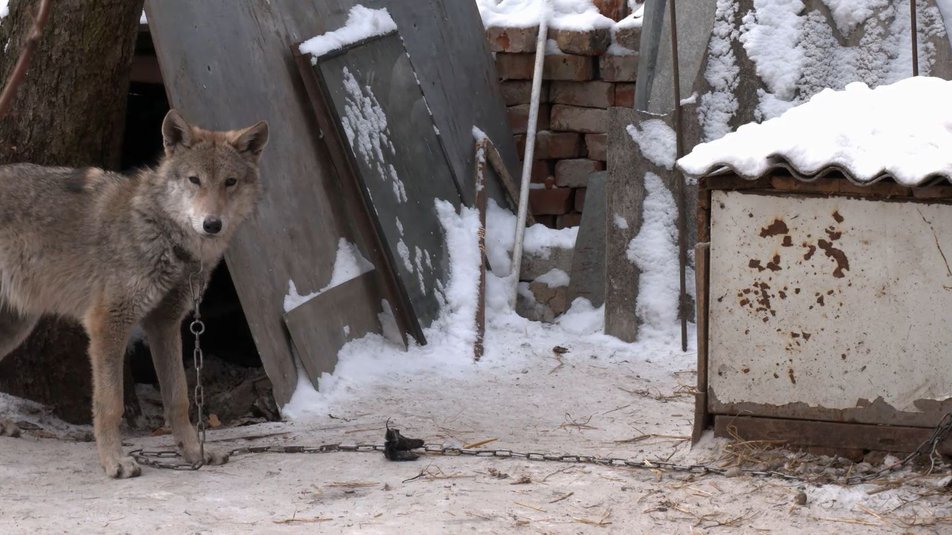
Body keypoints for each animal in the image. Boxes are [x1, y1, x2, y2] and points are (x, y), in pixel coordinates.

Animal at [0, 111, 268, 480]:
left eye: (230, 182)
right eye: (194, 180)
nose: (212, 224)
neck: (164, 236)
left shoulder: (165, 324)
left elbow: (179, 399)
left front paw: (194, 454)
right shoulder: (108, 322)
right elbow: (110, 405)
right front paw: (114, 462)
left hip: (16, 326)